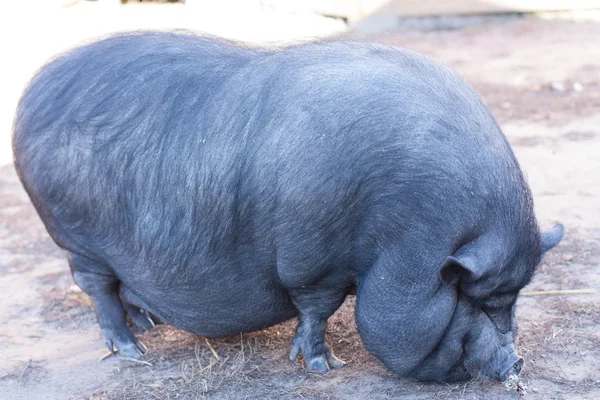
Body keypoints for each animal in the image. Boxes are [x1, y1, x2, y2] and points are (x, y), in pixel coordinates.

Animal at [11, 31, 564, 382]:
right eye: (473, 298)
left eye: (513, 298)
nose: (515, 364)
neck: (400, 235)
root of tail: (29, 98)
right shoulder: (313, 261)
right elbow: (317, 310)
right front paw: (326, 368)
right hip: (75, 239)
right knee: (97, 290)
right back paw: (133, 353)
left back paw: (149, 327)